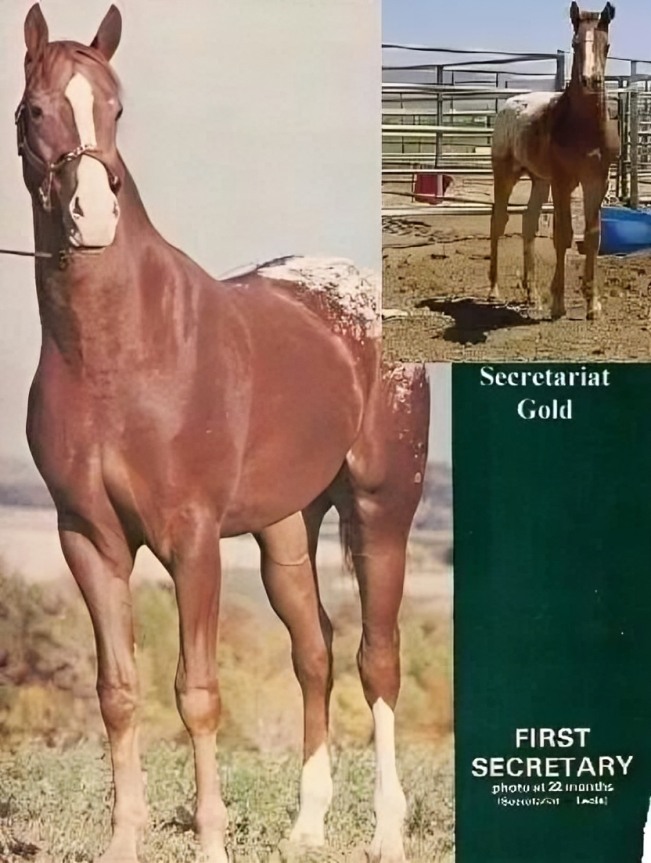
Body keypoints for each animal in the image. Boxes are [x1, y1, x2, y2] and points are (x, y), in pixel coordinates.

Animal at [16, 5, 429, 863]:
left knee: (377, 658)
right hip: (286, 532)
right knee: (316, 652)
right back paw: (307, 826)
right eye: (35, 110)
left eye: (117, 108)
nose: (92, 217)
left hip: (383, 509)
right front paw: (123, 841)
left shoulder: (192, 538)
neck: (120, 348)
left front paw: (209, 841)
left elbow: (196, 693)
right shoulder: (89, 538)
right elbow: (118, 692)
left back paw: (386, 831)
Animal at [489, 2, 620, 321]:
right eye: (575, 44)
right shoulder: (563, 180)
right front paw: (558, 303)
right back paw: (494, 291)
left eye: (606, 45)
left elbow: (592, 236)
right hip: (506, 173)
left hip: (539, 180)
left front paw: (593, 304)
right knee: (499, 221)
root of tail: (509, 104)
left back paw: (532, 294)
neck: (584, 128)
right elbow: (563, 235)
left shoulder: (596, 180)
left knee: (528, 222)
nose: (590, 80)